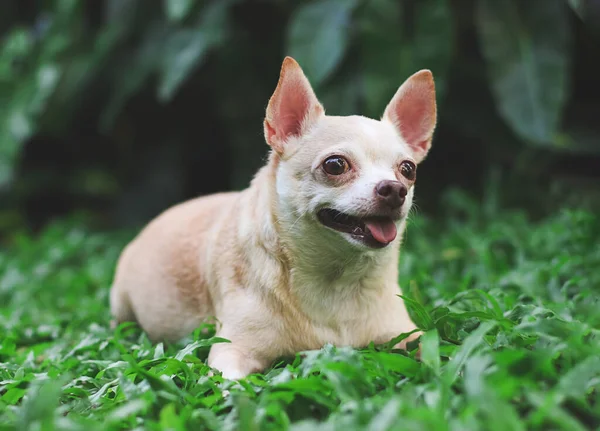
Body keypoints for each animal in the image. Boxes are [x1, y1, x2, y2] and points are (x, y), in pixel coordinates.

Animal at [109, 55, 436, 380]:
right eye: (335, 165)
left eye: (408, 170)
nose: (394, 189)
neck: (337, 279)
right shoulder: (232, 350)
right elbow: (233, 384)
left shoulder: (405, 333)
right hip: (121, 303)